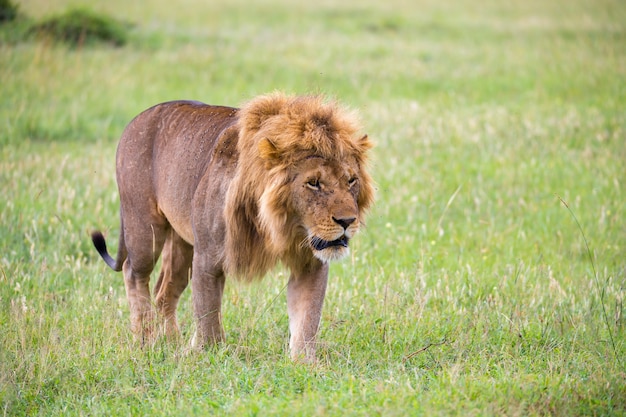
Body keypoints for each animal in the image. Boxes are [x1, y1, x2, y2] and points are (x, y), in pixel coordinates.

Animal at [91, 92, 372, 360]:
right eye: (313, 183)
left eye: (351, 180)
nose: (347, 221)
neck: (281, 224)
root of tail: (136, 119)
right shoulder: (208, 257)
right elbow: (208, 315)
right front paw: (208, 355)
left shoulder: (309, 263)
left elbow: (307, 317)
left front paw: (305, 364)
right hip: (144, 228)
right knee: (133, 272)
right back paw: (145, 339)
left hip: (182, 243)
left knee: (164, 291)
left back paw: (170, 343)